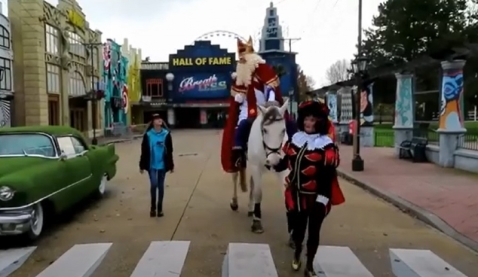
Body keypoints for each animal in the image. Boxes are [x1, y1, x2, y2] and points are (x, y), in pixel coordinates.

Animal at [230, 99, 290, 233]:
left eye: (283, 130)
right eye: (265, 130)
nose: (274, 160)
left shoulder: (283, 169)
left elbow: (286, 192)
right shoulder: (255, 167)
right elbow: (258, 193)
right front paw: (257, 222)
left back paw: (250, 208)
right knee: (235, 177)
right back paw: (235, 203)